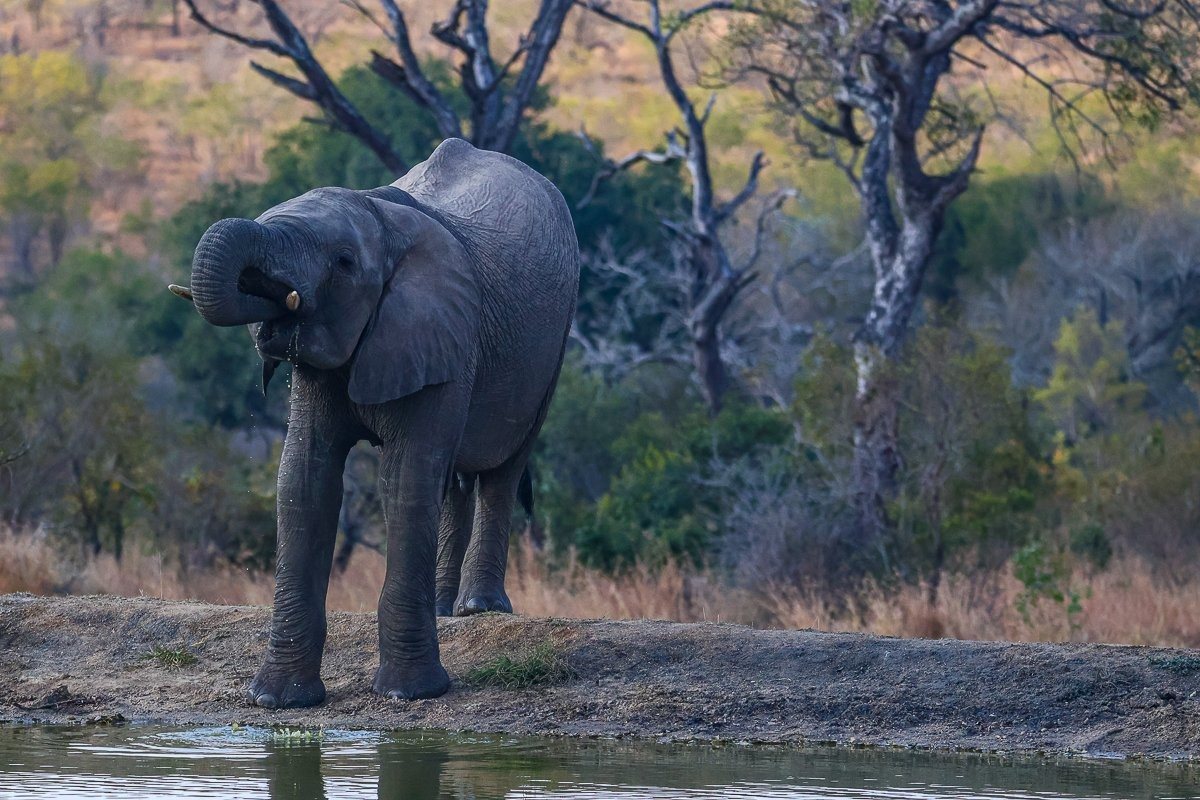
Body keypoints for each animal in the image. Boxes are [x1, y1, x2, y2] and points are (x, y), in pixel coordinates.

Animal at [170, 138, 579, 707]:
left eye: (343, 262)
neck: (380, 219)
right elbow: (304, 481)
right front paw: (279, 701)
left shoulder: (442, 328)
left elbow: (404, 482)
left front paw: (412, 694)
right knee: (453, 479)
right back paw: (444, 610)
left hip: (552, 348)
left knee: (501, 471)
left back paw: (480, 610)